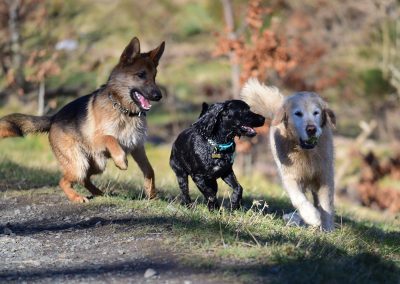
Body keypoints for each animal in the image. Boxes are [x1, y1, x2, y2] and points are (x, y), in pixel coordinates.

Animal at [0, 36, 165, 203]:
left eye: (155, 76)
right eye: (141, 75)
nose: (159, 96)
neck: (123, 110)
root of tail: (54, 118)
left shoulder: (137, 147)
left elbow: (150, 170)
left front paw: (152, 195)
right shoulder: (97, 140)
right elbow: (111, 138)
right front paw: (121, 161)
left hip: (96, 164)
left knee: (84, 179)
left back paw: (99, 193)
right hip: (80, 164)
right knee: (65, 180)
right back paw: (76, 197)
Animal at [241, 78, 338, 231]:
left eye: (316, 112)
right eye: (298, 113)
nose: (311, 129)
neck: (306, 152)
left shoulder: (325, 177)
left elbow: (326, 204)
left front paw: (327, 229)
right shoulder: (290, 176)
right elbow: (299, 199)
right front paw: (312, 216)